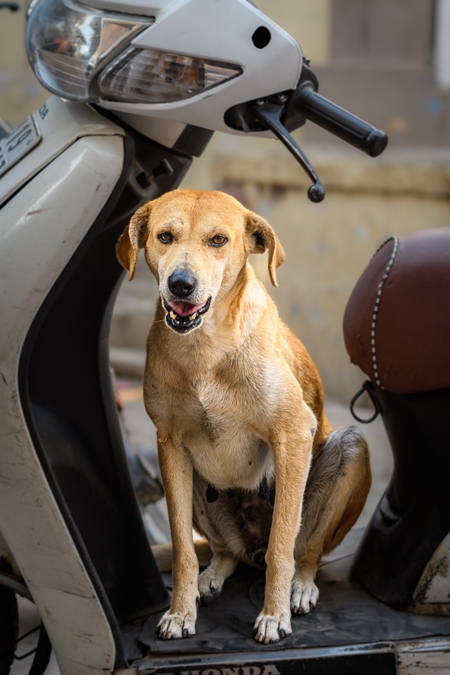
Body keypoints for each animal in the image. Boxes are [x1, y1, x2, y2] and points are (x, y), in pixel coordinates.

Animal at [115, 189, 370, 644]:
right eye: (164, 236)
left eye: (218, 240)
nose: (181, 284)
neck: (205, 348)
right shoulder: (170, 445)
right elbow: (182, 549)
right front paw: (180, 612)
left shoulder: (293, 433)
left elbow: (282, 546)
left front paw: (274, 614)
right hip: (198, 487)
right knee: (224, 552)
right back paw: (212, 575)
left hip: (350, 449)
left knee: (304, 552)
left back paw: (300, 586)